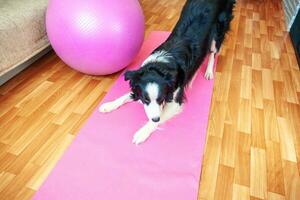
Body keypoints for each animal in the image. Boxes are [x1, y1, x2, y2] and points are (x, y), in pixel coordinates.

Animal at [99, 0, 236, 144]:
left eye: (161, 99)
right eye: (146, 99)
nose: (156, 118)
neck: (159, 66)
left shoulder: (175, 100)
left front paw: (142, 133)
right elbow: (126, 96)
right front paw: (109, 105)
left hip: (219, 28)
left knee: (213, 51)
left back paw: (209, 71)